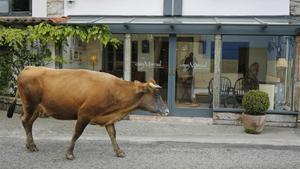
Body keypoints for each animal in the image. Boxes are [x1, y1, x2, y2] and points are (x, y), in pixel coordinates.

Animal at [5, 66, 169, 160]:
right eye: (156, 94)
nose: (167, 110)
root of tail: (30, 68)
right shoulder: (84, 114)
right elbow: (77, 133)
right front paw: (69, 153)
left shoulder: (108, 119)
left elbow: (113, 135)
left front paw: (118, 151)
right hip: (30, 105)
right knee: (25, 121)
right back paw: (31, 146)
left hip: (37, 109)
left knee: (28, 123)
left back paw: (30, 145)